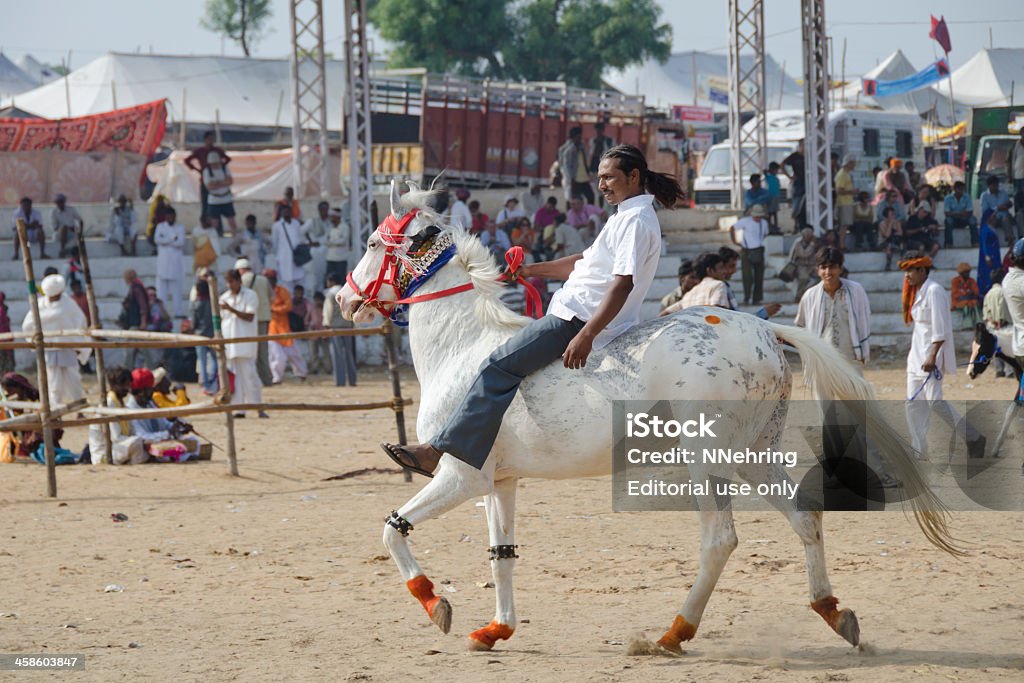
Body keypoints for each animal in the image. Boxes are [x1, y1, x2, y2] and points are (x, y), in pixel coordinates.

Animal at [337, 181, 959, 654]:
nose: (342, 300)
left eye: (370, 242)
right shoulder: (499, 482)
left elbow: (393, 529)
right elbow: (503, 557)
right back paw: (833, 612)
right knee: (805, 519)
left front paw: (434, 602)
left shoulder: (460, 476)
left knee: (720, 540)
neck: (463, 349)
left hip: (708, 458)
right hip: (753, 454)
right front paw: (495, 630)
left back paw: (672, 634)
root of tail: (761, 327)